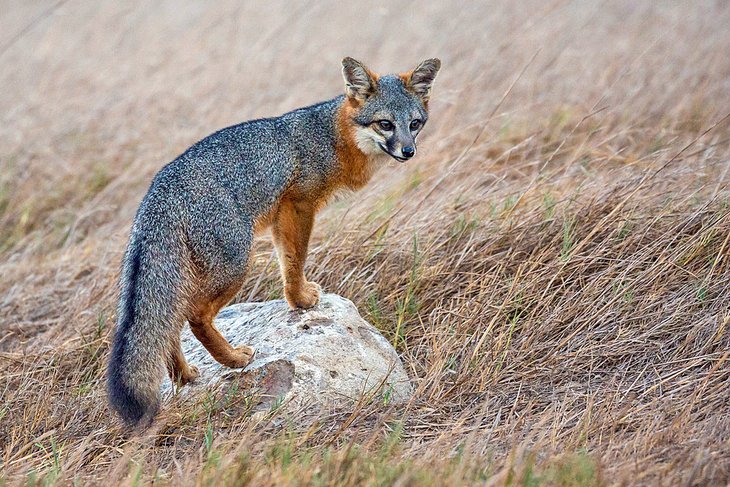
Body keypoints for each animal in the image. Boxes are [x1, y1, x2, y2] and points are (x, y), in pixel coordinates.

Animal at [108, 57, 438, 428]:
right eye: (385, 124)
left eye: (414, 124)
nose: (408, 151)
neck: (332, 136)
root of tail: (158, 191)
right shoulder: (299, 206)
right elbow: (296, 260)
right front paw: (302, 301)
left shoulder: (282, 217)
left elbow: (287, 260)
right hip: (236, 265)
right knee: (195, 316)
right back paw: (233, 359)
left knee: (170, 323)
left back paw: (184, 374)